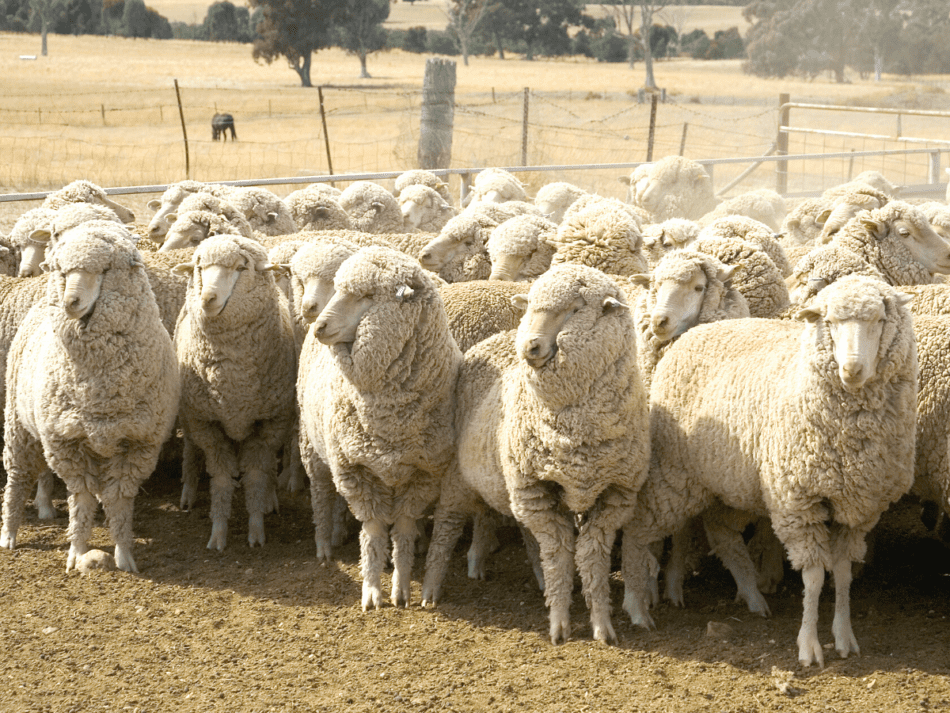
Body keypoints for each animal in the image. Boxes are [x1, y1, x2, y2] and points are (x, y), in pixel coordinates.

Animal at [0, 220, 179, 572]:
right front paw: (77, 551)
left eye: (106, 269)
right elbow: (80, 500)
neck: (100, 387)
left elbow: (119, 501)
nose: (70, 303)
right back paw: (9, 533)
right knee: (16, 479)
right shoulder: (66, 442)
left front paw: (124, 554)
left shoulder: (138, 443)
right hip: (18, 426)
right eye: (64, 270)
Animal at [175, 234, 298, 552]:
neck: (233, 383)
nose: (207, 299)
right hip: (189, 419)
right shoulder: (208, 424)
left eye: (241, 268)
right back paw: (188, 492)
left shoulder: (268, 424)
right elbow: (220, 480)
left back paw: (270, 498)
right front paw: (218, 531)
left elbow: (255, 476)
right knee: (190, 450)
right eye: (199, 267)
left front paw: (256, 528)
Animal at [298, 245, 462, 608]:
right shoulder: (355, 469)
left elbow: (403, 529)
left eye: (367, 296)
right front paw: (372, 590)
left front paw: (400, 585)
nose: (319, 326)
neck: (391, 416)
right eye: (340, 290)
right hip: (311, 445)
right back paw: (324, 544)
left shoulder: (423, 473)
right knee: (320, 495)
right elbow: (372, 533)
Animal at [420, 264, 652, 644]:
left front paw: (601, 625)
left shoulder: (613, 496)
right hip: (459, 477)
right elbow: (559, 554)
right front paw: (559, 626)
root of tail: (495, 337)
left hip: (504, 479)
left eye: (575, 309)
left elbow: (590, 558)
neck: (575, 431)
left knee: (516, 528)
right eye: (529, 306)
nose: (530, 345)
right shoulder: (536, 487)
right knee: (446, 527)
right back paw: (430, 589)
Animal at [624, 276, 924, 664]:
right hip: (672, 474)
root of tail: (694, 332)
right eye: (830, 322)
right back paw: (637, 604)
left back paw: (752, 596)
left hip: (730, 481)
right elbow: (814, 576)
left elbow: (842, 574)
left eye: (879, 321)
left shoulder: (857, 509)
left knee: (719, 531)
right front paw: (809, 646)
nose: (851, 370)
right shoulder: (798, 503)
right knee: (636, 531)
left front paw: (844, 636)